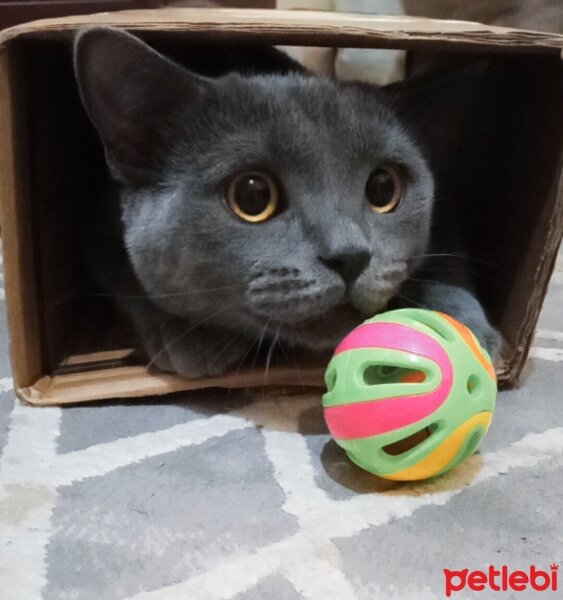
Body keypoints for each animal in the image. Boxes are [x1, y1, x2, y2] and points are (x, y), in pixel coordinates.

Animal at [72, 28, 500, 378]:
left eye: (383, 188)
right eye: (252, 195)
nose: (350, 256)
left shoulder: (446, 213)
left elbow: (448, 263)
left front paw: (465, 330)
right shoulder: (101, 234)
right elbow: (132, 279)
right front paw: (191, 336)